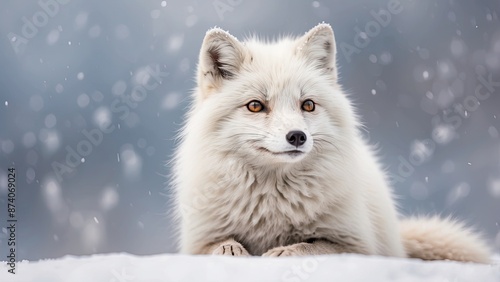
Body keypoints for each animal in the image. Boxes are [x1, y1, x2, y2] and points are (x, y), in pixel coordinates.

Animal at [172, 23, 492, 264]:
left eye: (308, 105)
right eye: (255, 106)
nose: (297, 136)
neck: (273, 203)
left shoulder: (355, 244)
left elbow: (310, 246)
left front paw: (283, 251)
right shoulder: (196, 241)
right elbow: (218, 246)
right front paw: (232, 250)